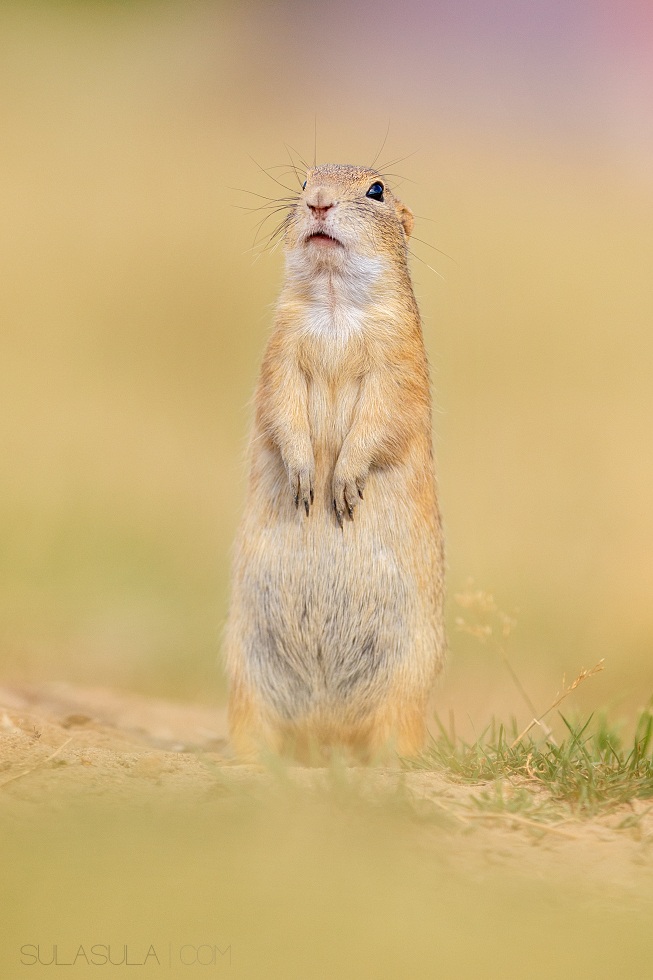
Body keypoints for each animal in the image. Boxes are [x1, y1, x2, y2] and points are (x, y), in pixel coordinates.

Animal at [224, 163, 445, 762]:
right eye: (304, 182)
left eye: (376, 190)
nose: (319, 202)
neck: (332, 303)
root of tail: (324, 735)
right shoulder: (279, 350)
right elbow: (280, 403)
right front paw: (305, 478)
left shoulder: (398, 360)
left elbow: (383, 413)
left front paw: (342, 485)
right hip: (245, 672)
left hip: (407, 681)